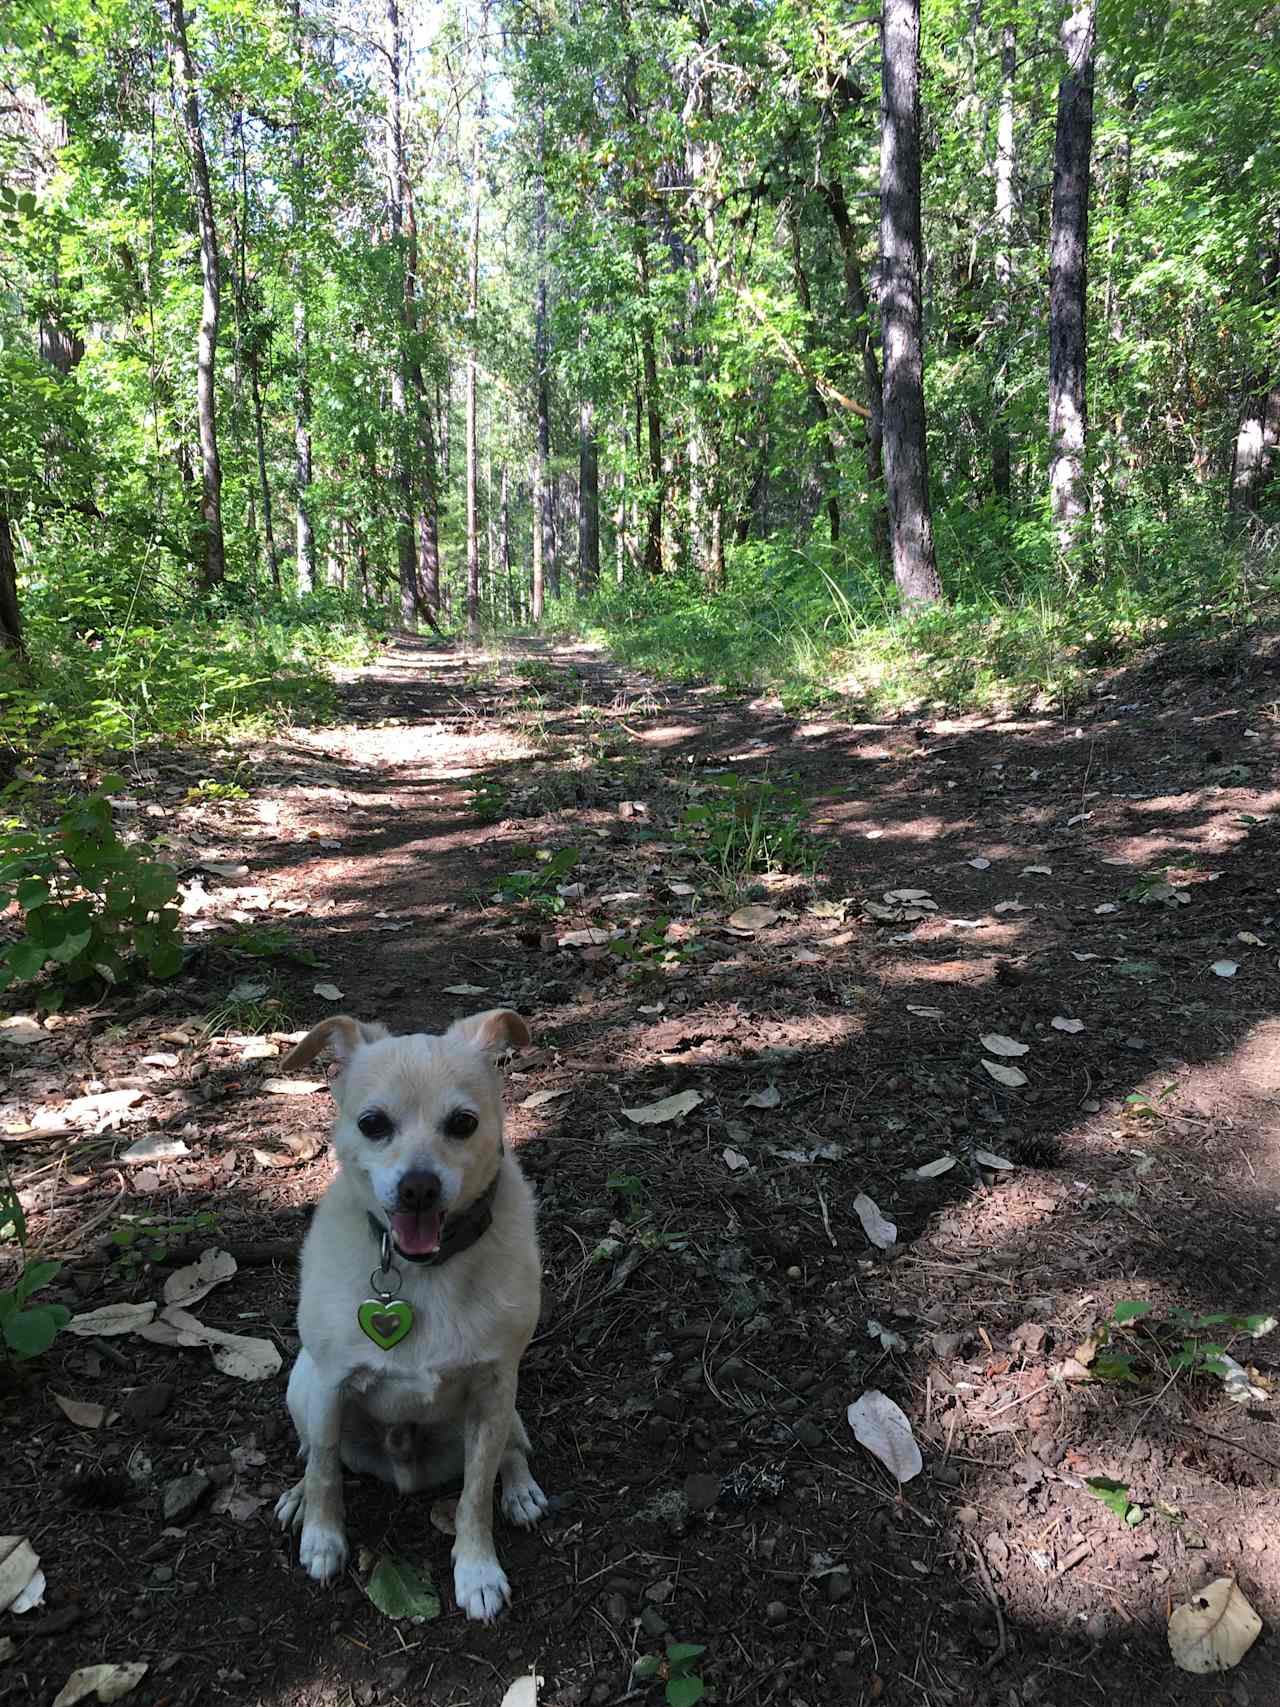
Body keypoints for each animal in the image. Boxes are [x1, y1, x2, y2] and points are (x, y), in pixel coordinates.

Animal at [276, 1003, 546, 1618]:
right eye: (372, 1123)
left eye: (463, 1123)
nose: (418, 1187)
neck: (424, 1269)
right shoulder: (329, 1385)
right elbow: (325, 1471)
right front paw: (322, 1538)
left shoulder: (494, 1392)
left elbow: (475, 1494)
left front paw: (477, 1571)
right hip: (303, 1387)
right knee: (315, 1452)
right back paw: (298, 1496)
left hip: (509, 1411)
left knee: (511, 1452)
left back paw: (520, 1490)